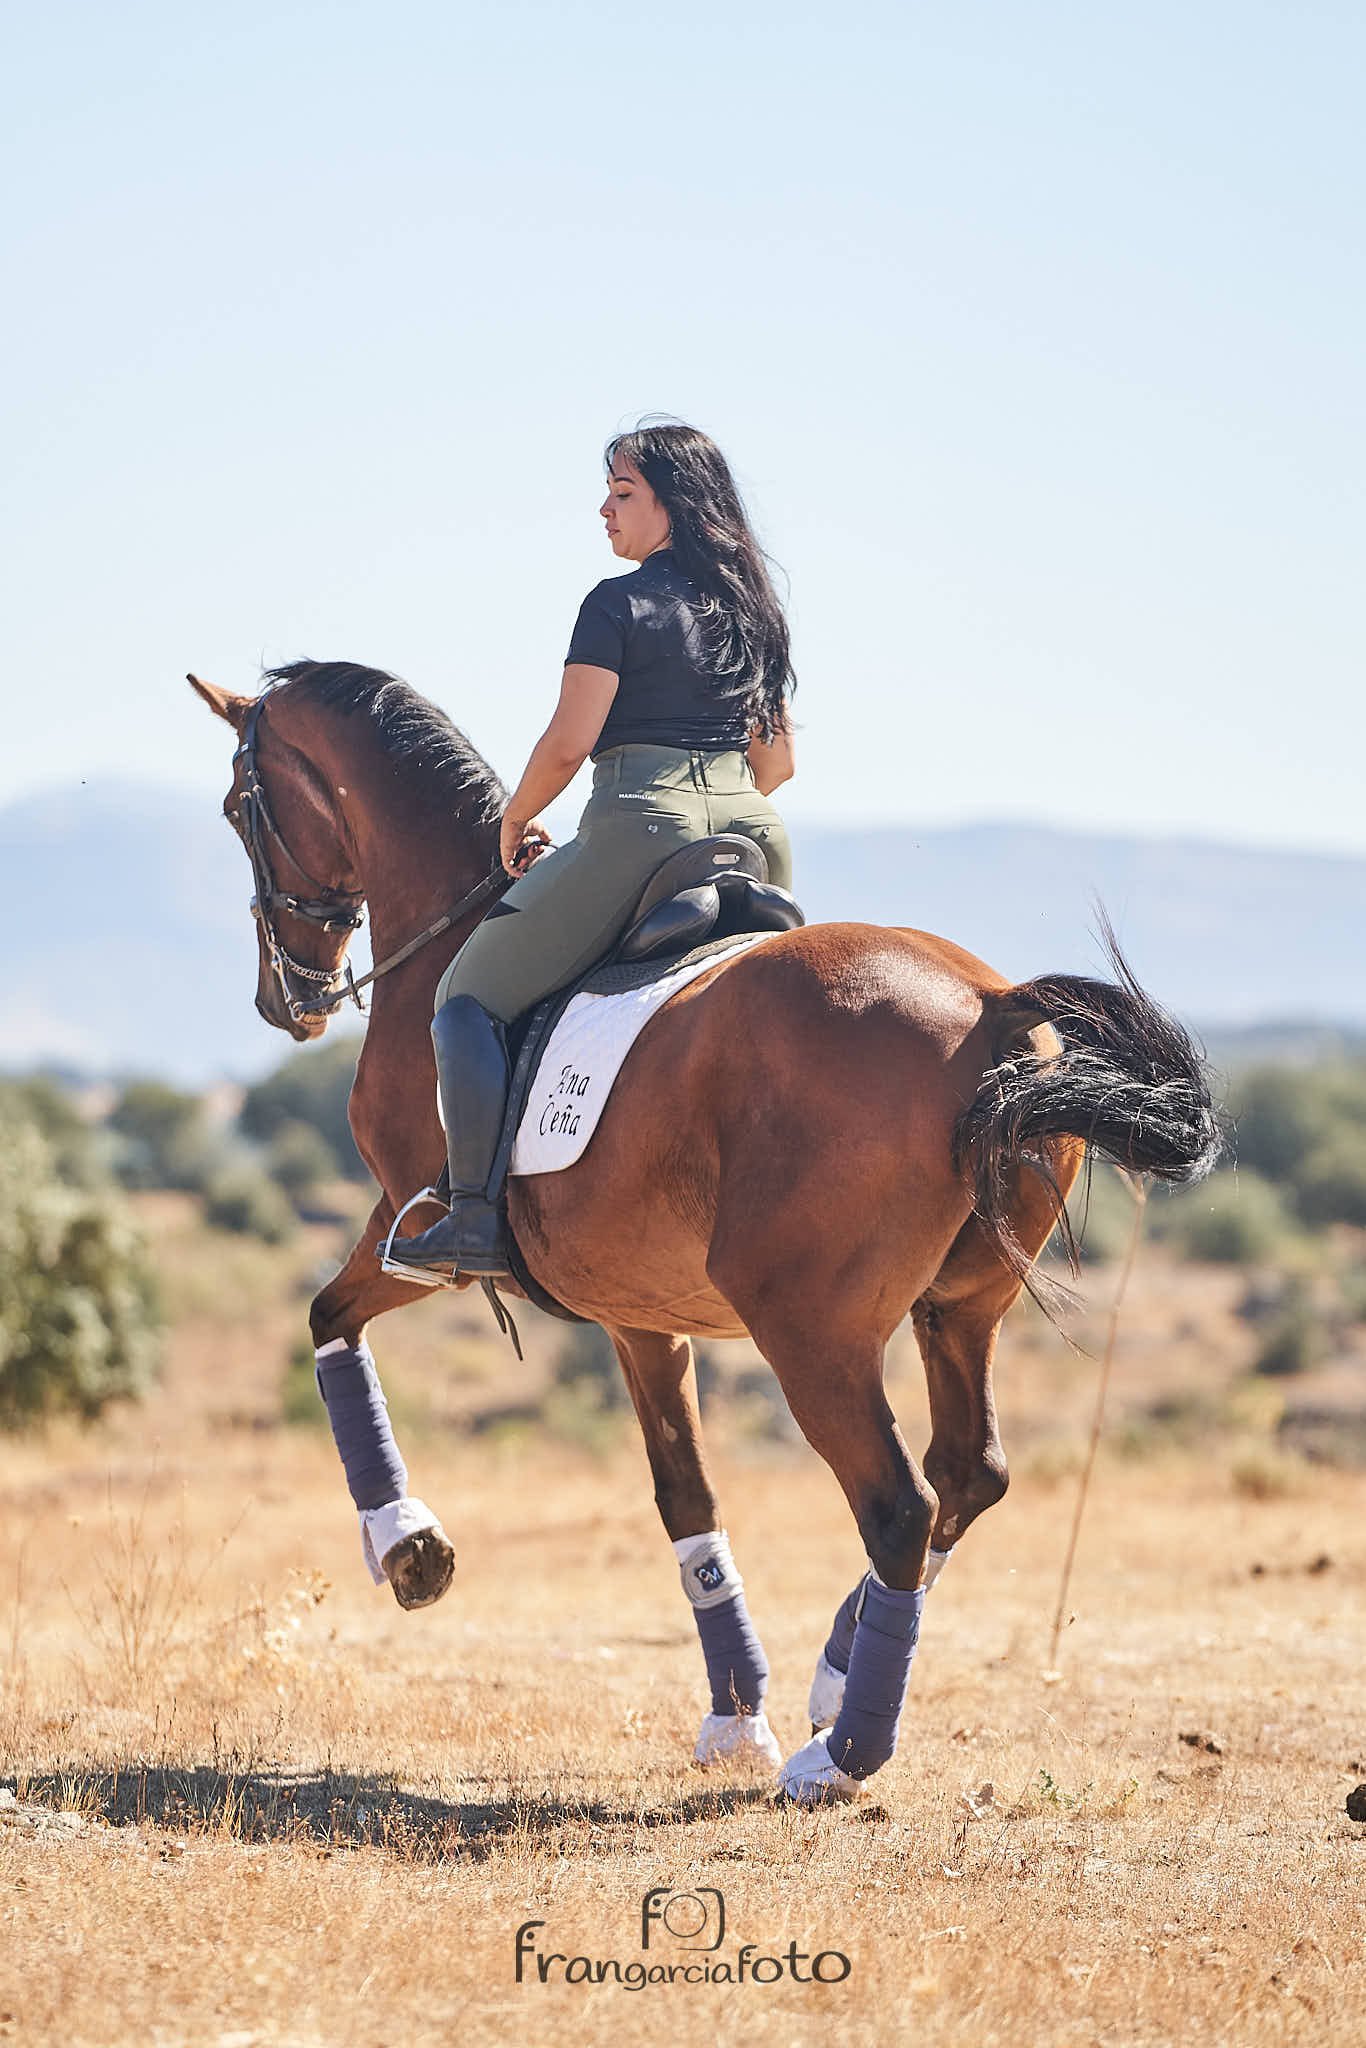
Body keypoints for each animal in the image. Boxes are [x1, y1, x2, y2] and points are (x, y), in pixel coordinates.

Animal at [189, 660, 1220, 1804]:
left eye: (238, 808)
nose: (287, 1003)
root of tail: (992, 1004)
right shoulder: (640, 1313)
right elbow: (686, 1495)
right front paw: (735, 1714)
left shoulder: (409, 1231)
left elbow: (328, 1318)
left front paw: (407, 1547)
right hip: (958, 1311)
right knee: (968, 1476)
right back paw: (832, 1675)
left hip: (811, 1331)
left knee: (899, 1505)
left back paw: (838, 1755)